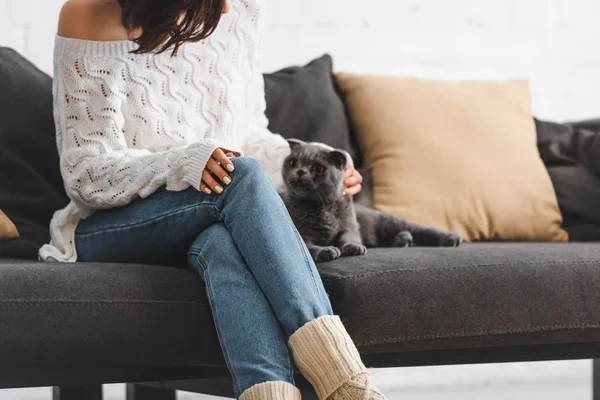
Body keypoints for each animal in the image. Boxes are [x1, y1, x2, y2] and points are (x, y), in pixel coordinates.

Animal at [278, 139, 462, 264]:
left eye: (318, 168)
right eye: (293, 162)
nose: (300, 171)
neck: (321, 207)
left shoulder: (349, 226)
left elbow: (350, 237)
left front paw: (354, 247)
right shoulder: (301, 233)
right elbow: (307, 247)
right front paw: (327, 250)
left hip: (388, 221)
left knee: (420, 229)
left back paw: (450, 238)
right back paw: (404, 240)